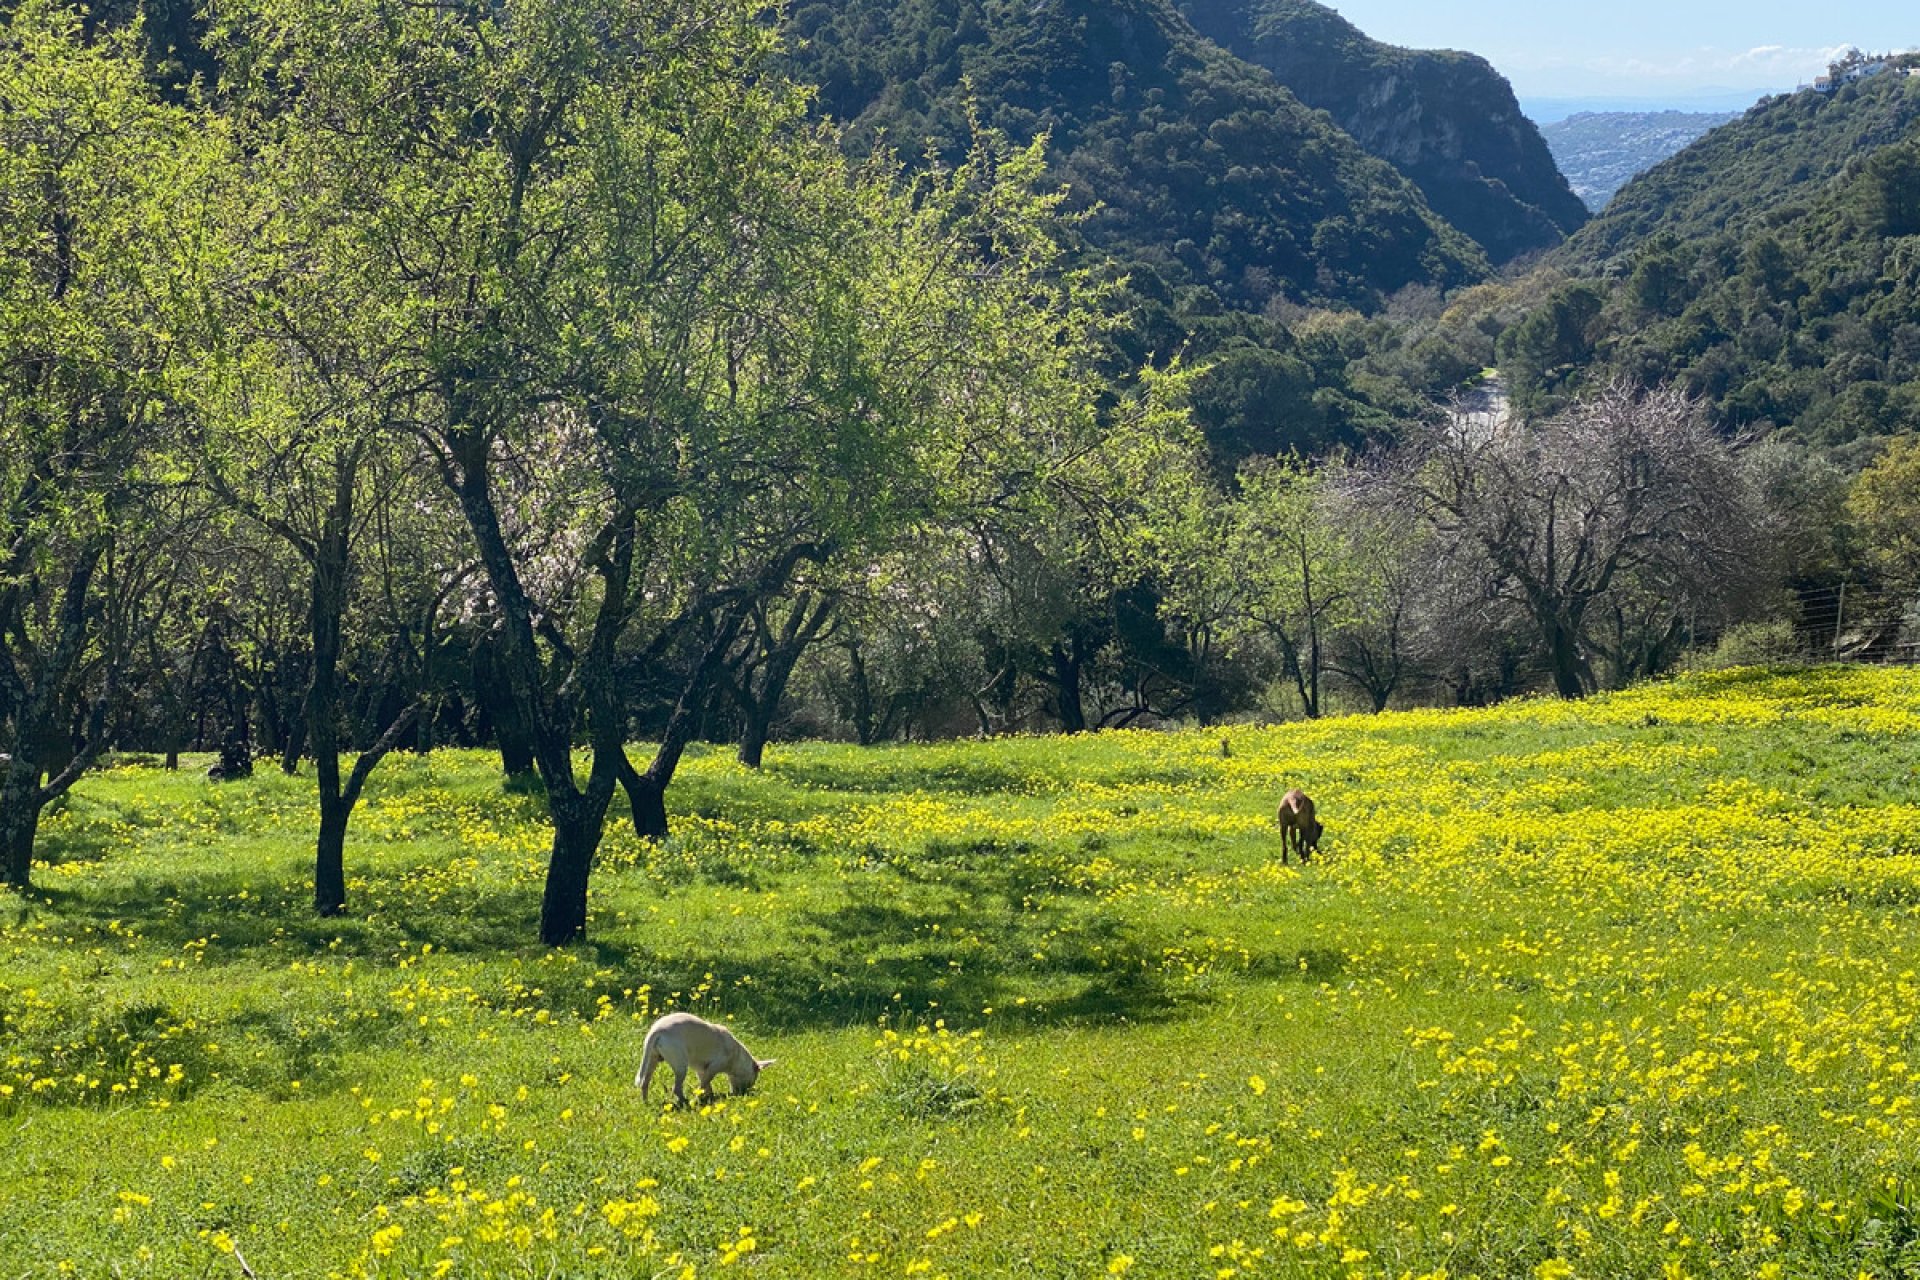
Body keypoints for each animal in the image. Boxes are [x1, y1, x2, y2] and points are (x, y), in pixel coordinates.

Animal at [637, 1013, 771, 1105]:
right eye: (751, 1082)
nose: (741, 1095)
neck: (737, 1057)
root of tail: (657, 1030)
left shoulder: (701, 1070)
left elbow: (706, 1085)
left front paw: (709, 1097)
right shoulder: (712, 1069)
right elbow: (703, 1085)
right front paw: (699, 1099)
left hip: (652, 1060)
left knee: (645, 1082)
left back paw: (646, 1102)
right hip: (681, 1067)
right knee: (676, 1088)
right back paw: (685, 1102)